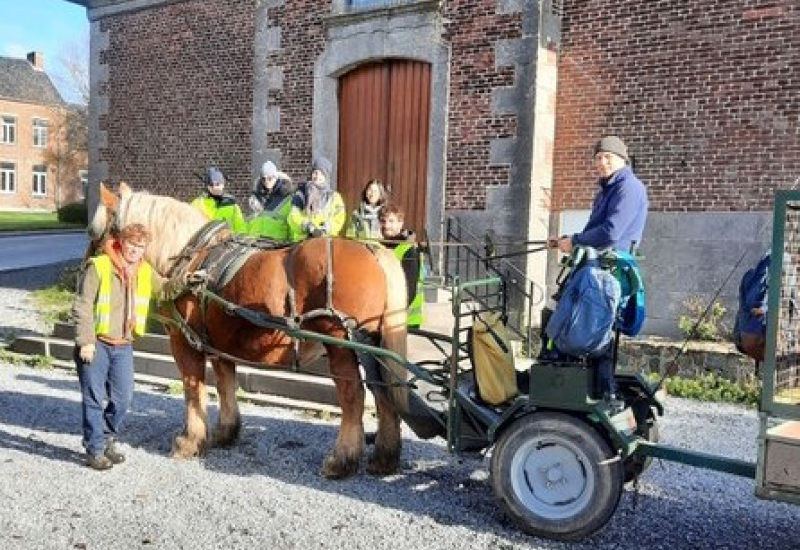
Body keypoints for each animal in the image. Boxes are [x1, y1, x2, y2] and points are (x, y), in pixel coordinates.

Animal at [90, 183, 410, 480]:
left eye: (96, 231)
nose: (88, 268)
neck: (191, 261)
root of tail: (372, 249)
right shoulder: (218, 343)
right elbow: (225, 385)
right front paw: (225, 432)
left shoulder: (184, 340)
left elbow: (194, 389)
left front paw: (190, 441)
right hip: (372, 346)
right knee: (383, 394)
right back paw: (384, 457)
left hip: (341, 343)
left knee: (353, 396)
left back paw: (342, 460)